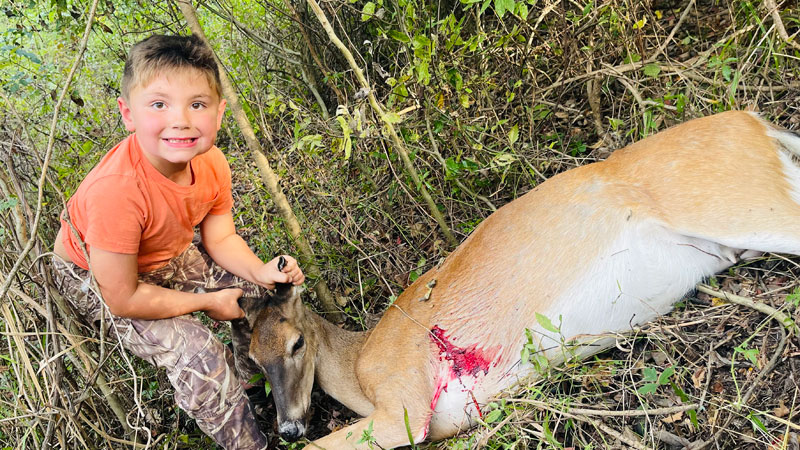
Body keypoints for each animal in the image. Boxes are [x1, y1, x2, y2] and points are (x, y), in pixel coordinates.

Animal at [231, 111, 800, 449]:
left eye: (297, 343)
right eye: (253, 360)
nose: (288, 426)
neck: (360, 368)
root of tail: (757, 122)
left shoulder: (405, 404)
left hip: (739, 201)